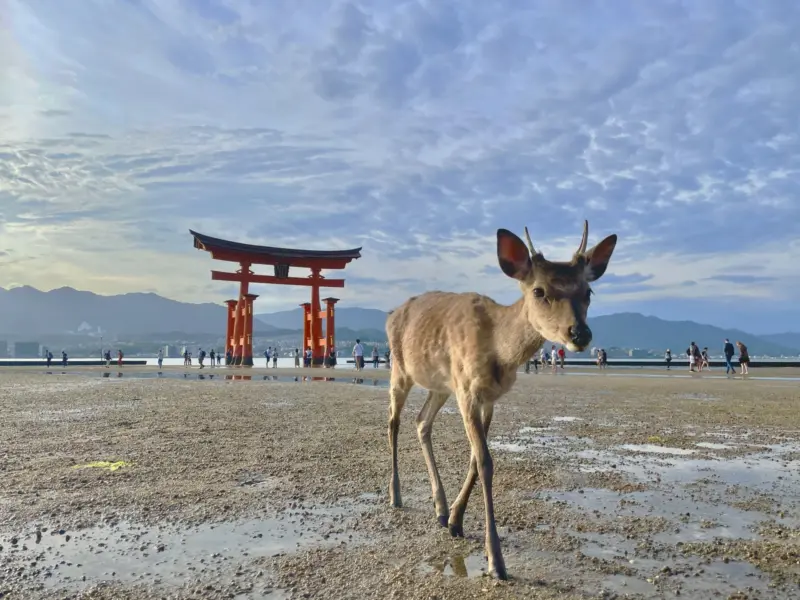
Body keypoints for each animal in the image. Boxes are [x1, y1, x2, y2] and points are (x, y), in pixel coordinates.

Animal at [388, 221, 620, 580]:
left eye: (588, 292)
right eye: (539, 291)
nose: (580, 333)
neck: (499, 351)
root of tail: (391, 314)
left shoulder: (488, 398)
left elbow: (474, 458)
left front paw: (455, 520)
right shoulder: (467, 389)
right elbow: (485, 462)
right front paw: (495, 561)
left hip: (440, 386)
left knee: (421, 421)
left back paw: (439, 507)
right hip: (400, 368)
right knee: (393, 421)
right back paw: (396, 495)